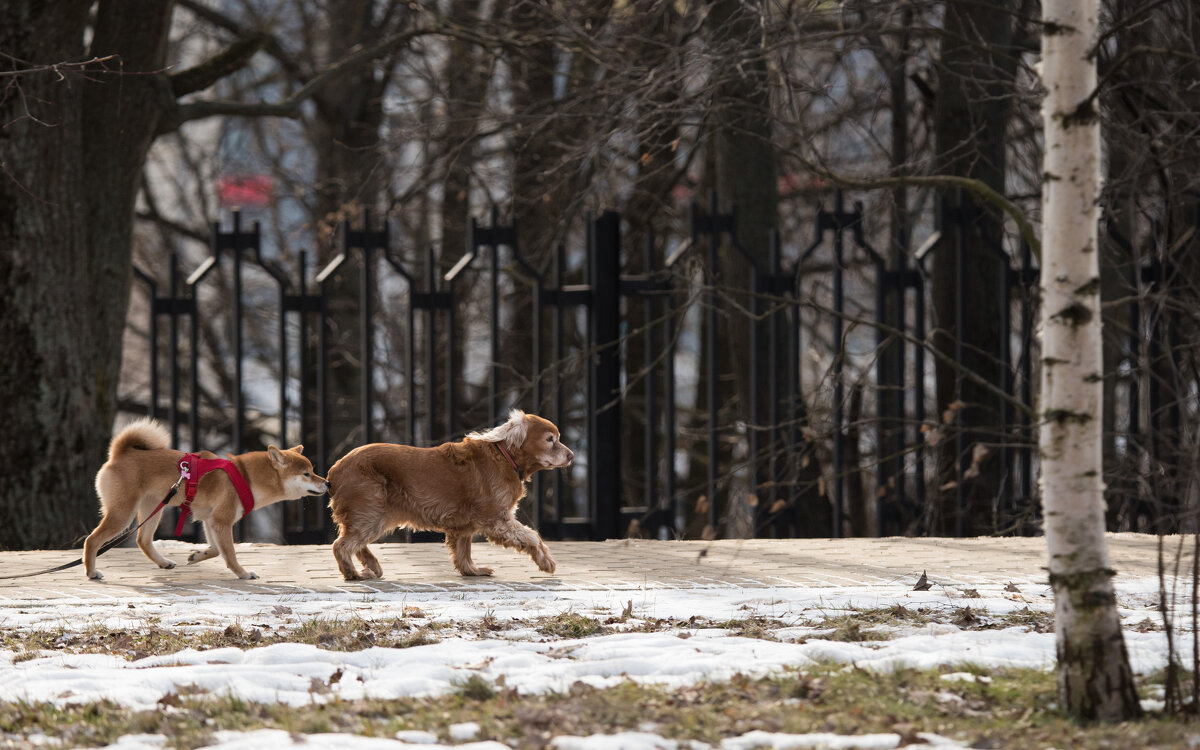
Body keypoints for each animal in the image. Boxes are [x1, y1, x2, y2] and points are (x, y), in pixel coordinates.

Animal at [84, 417, 328, 583]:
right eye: (307, 474)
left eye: (313, 471)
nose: (327, 483)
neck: (247, 477)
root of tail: (120, 454)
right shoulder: (222, 520)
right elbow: (230, 553)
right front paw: (243, 573)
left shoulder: (211, 520)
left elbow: (217, 549)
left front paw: (197, 555)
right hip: (123, 514)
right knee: (92, 540)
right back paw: (91, 572)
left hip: (154, 507)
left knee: (142, 540)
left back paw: (163, 562)